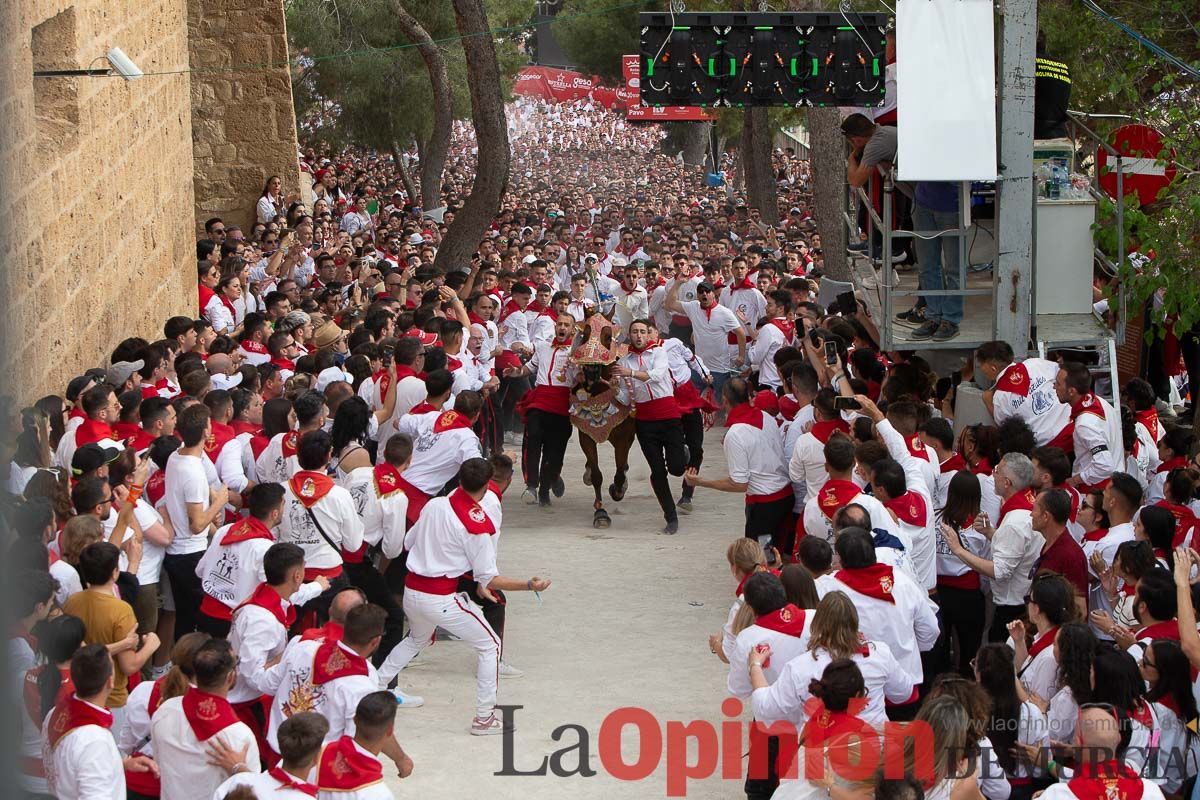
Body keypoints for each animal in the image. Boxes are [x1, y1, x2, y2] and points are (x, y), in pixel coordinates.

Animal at [568, 309, 638, 527]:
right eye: (584, 334)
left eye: (608, 336)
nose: (590, 371)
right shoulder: (586, 435)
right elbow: (597, 473)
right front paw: (600, 513)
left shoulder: (624, 437)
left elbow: (619, 470)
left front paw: (617, 490)